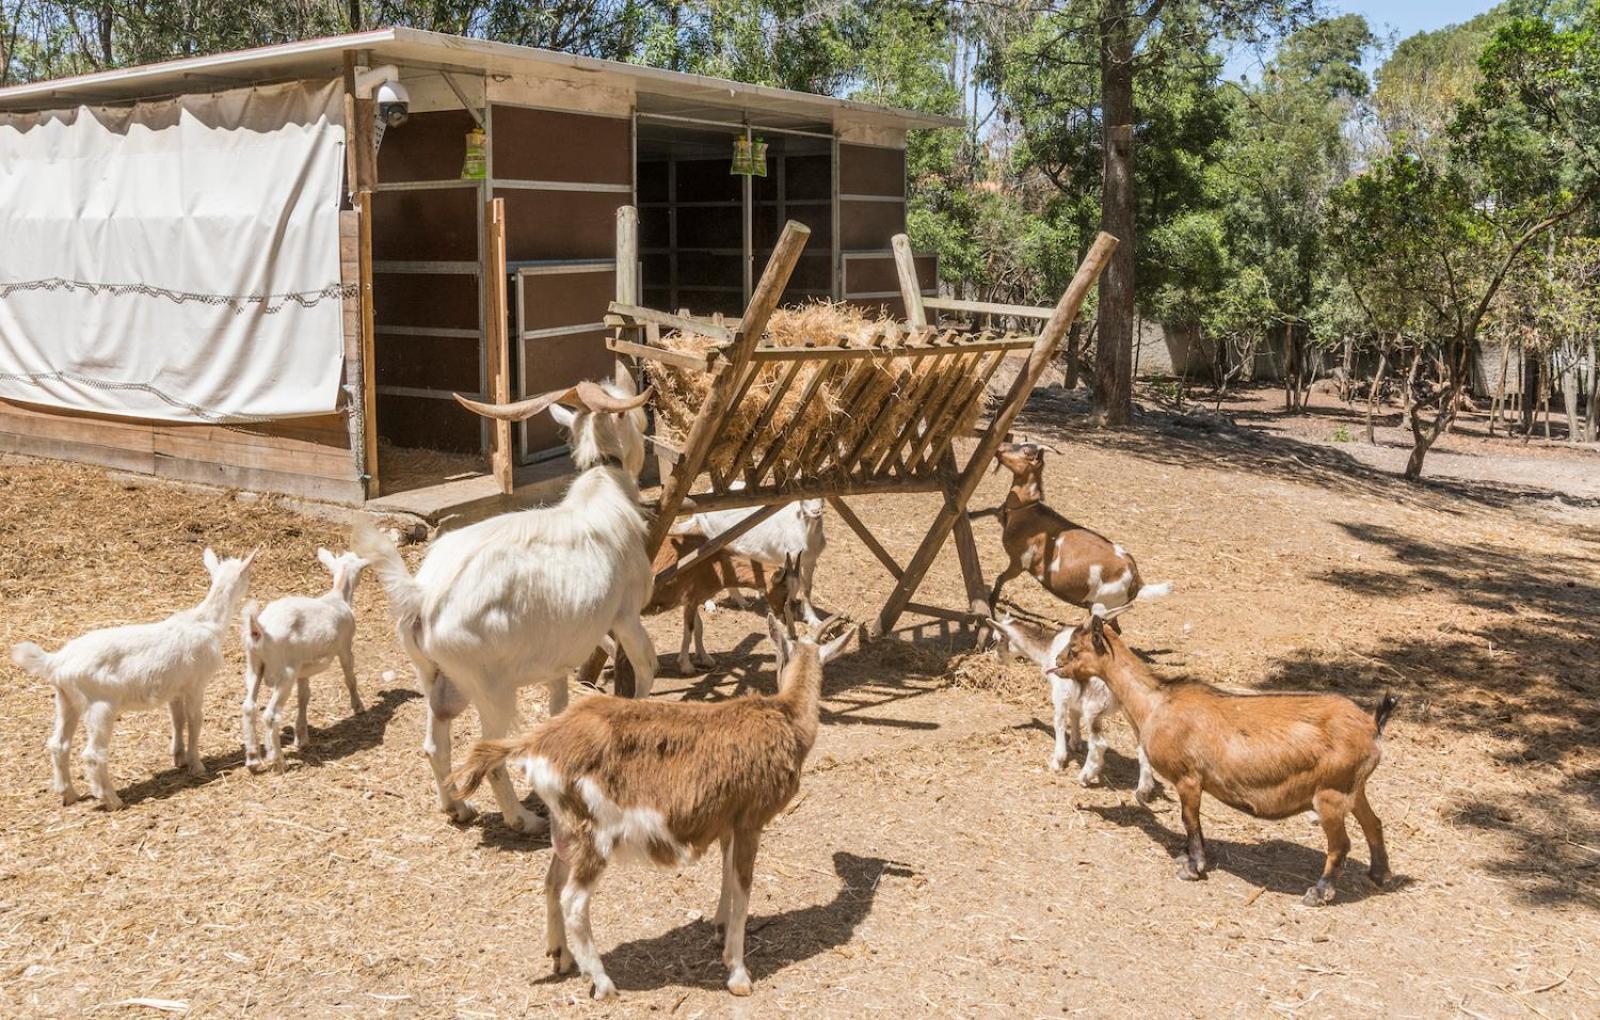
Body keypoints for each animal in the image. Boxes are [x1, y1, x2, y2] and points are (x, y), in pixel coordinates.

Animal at [356, 367, 656, 837]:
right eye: (636, 416)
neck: (602, 489)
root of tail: (424, 596)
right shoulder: (626, 613)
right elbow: (645, 663)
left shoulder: (558, 657)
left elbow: (558, 703)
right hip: (489, 686)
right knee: (488, 753)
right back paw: (523, 819)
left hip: (436, 675)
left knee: (434, 743)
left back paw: (457, 808)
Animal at [451, 613, 851, 997]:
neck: (785, 718)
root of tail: (536, 743)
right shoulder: (751, 821)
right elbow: (743, 888)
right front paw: (738, 975)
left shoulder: (728, 822)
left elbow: (726, 875)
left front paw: (719, 930)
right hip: (597, 835)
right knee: (574, 901)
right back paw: (604, 984)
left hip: (566, 829)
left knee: (552, 881)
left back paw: (562, 958)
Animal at [979, 441, 1171, 623]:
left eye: (1026, 451)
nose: (999, 446)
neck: (1028, 510)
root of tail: (1137, 581)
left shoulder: (1019, 563)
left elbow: (1000, 578)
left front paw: (991, 604)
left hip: (1103, 603)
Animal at [1056, 604, 1395, 908]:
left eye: (1074, 648)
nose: (1057, 661)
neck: (1156, 703)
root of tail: (1372, 725)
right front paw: (1185, 856)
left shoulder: (1189, 778)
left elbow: (1190, 820)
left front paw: (1193, 866)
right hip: (1353, 788)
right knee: (1374, 823)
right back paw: (1379, 874)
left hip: (1330, 794)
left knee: (1341, 844)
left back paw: (1318, 893)